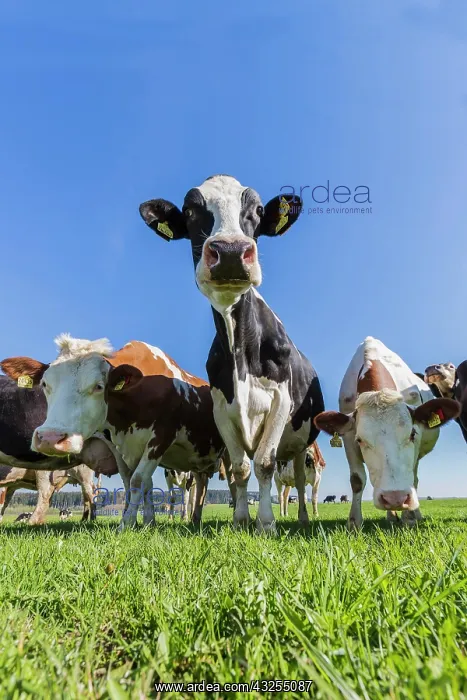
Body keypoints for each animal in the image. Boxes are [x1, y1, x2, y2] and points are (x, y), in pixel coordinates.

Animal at [10, 334, 231, 529]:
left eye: (99, 386)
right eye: (45, 384)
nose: (49, 438)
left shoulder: (161, 438)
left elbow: (138, 480)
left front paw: (126, 524)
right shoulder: (120, 445)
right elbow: (137, 482)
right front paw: (147, 523)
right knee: (201, 484)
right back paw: (195, 519)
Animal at [139, 174, 325, 533]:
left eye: (257, 210)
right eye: (190, 211)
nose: (229, 251)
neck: (240, 350)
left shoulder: (280, 401)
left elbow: (265, 463)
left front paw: (265, 523)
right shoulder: (222, 409)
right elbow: (240, 468)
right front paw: (241, 520)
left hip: (301, 442)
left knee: (296, 475)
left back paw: (302, 517)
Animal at [314, 337, 459, 529]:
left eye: (412, 435)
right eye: (360, 440)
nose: (395, 498)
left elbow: (412, 478)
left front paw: (409, 518)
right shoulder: (348, 437)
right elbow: (357, 480)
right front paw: (354, 522)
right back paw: (391, 516)